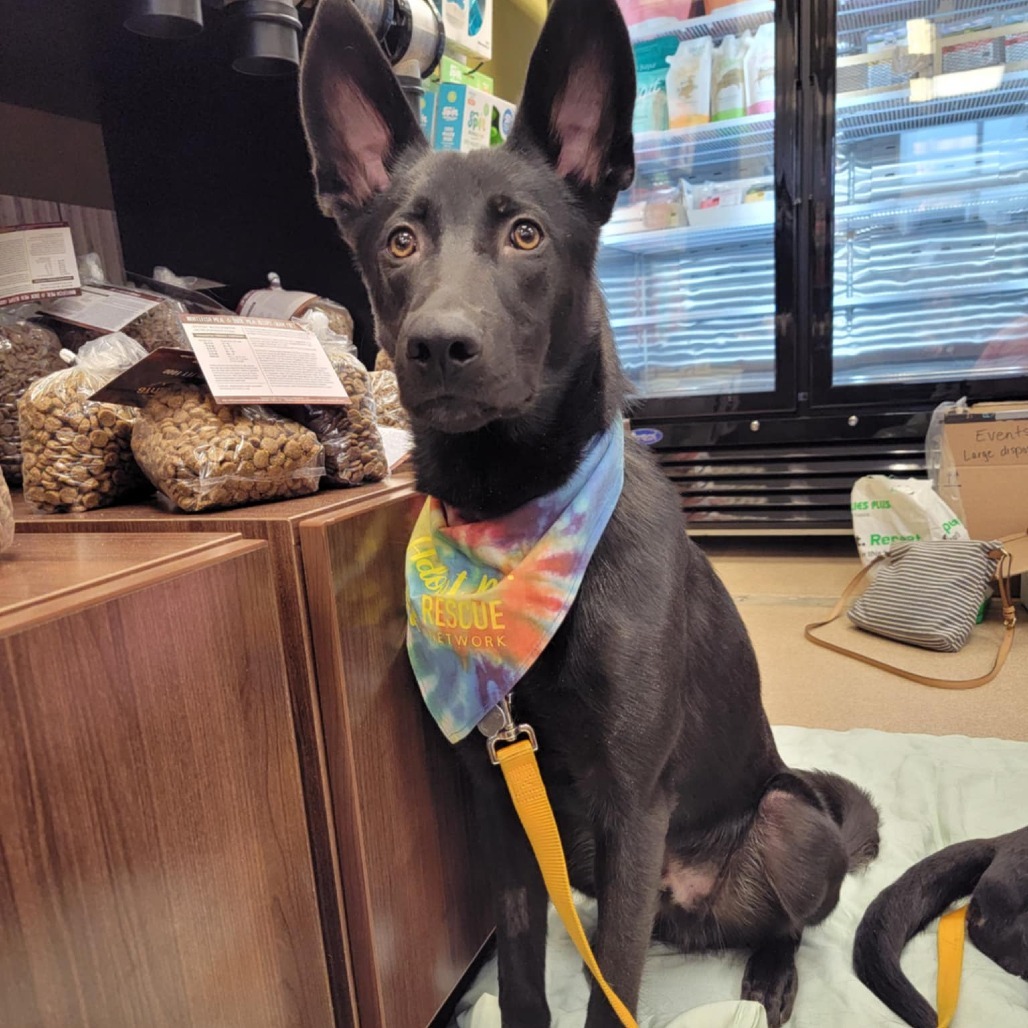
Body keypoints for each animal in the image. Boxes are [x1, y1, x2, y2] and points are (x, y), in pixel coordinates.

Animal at [300, 4, 879, 1023]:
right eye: (400, 242)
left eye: (527, 235)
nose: (438, 346)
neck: (514, 508)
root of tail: (692, 909)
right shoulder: (502, 800)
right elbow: (522, 962)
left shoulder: (632, 800)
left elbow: (612, 984)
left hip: (781, 823)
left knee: (785, 920)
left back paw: (770, 976)